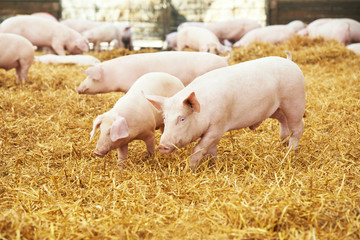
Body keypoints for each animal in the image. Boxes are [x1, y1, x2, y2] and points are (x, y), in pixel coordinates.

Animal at [145, 55, 306, 169]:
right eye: (164, 118)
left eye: (182, 118)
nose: (162, 146)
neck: (205, 109)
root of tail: (291, 63)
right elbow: (211, 150)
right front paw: (214, 165)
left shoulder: (218, 126)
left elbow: (198, 149)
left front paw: (189, 169)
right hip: (276, 109)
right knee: (283, 122)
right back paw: (283, 143)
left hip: (294, 101)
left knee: (298, 127)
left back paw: (291, 151)